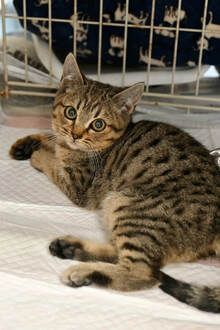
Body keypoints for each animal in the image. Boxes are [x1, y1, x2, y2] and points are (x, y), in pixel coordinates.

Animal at [9, 53, 220, 312]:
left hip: (128, 206)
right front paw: (26, 143)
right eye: (71, 112)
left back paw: (82, 272)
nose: (76, 134)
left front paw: (39, 155)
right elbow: (52, 139)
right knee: (121, 255)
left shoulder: (78, 185)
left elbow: (54, 163)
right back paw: (69, 248)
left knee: (144, 273)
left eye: (98, 124)